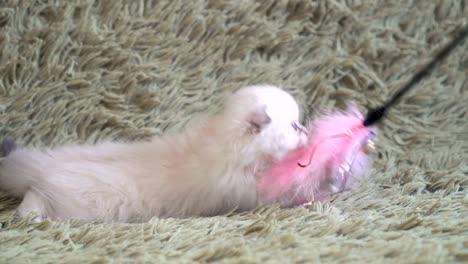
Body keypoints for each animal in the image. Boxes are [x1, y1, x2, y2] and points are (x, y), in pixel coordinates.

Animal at [0, 84, 308, 223]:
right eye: (294, 126)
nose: (306, 131)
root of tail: (43, 165)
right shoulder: (247, 191)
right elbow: (282, 195)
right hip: (75, 207)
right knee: (34, 199)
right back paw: (29, 216)